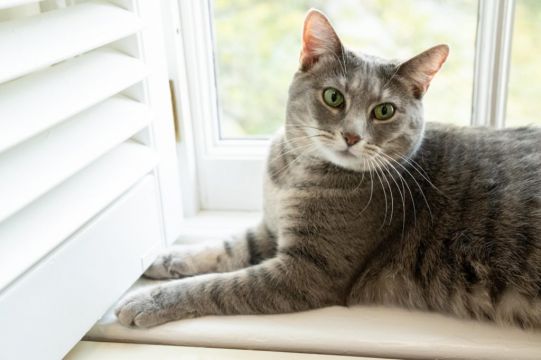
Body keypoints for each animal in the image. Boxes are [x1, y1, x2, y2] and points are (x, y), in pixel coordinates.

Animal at [115, 9, 540, 330]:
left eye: (384, 111)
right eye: (334, 97)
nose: (351, 136)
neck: (294, 171)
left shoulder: (306, 271)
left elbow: (218, 286)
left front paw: (150, 299)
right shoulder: (271, 229)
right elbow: (225, 248)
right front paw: (165, 259)